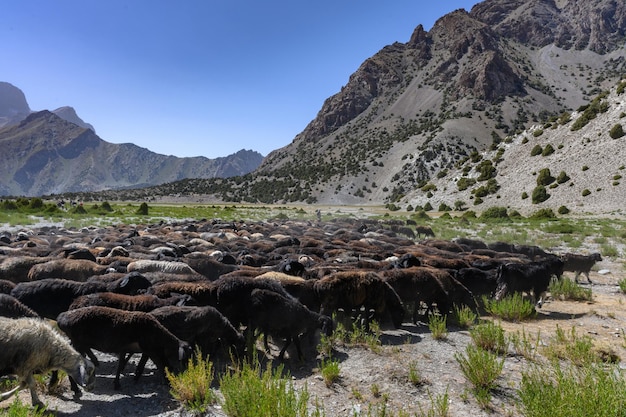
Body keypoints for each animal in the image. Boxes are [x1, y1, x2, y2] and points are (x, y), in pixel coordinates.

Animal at [56, 304, 193, 388]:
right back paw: (76, 388)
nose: (188, 374)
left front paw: (118, 382)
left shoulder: (127, 348)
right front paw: (167, 381)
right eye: (184, 359)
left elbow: (123, 363)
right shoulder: (149, 349)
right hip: (77, 342)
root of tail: (61, 318)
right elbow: (160, 364)